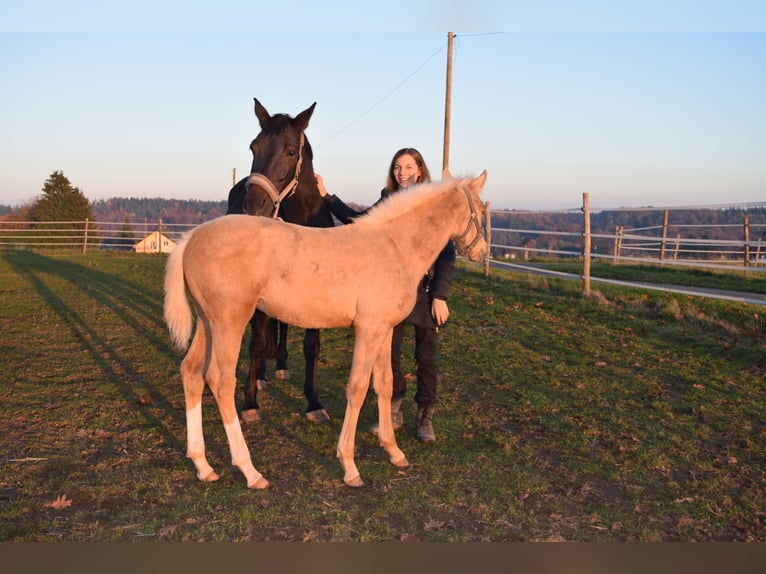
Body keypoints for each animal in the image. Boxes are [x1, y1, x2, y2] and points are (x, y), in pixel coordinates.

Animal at [163, 171, 488, 488]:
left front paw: (394, 451)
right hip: (230, 322)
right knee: (220, 381)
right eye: (482, 210)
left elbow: (384, 384)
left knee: (192, 373)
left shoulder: (384, 330)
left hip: (208, 323)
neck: (394, 245)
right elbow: (357, 388)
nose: (482, 252)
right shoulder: (368, 330)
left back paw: (203, 465)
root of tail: (192, 237)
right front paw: (349, 466)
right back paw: (250, 471)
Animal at [226, 98, 335, 424]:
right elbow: (257, 343)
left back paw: (281, 366)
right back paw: (261, 375)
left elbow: (312, 346)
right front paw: (250, 402)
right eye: (254, 147)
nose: (253, 204)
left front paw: (314, 402)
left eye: (290, 151)